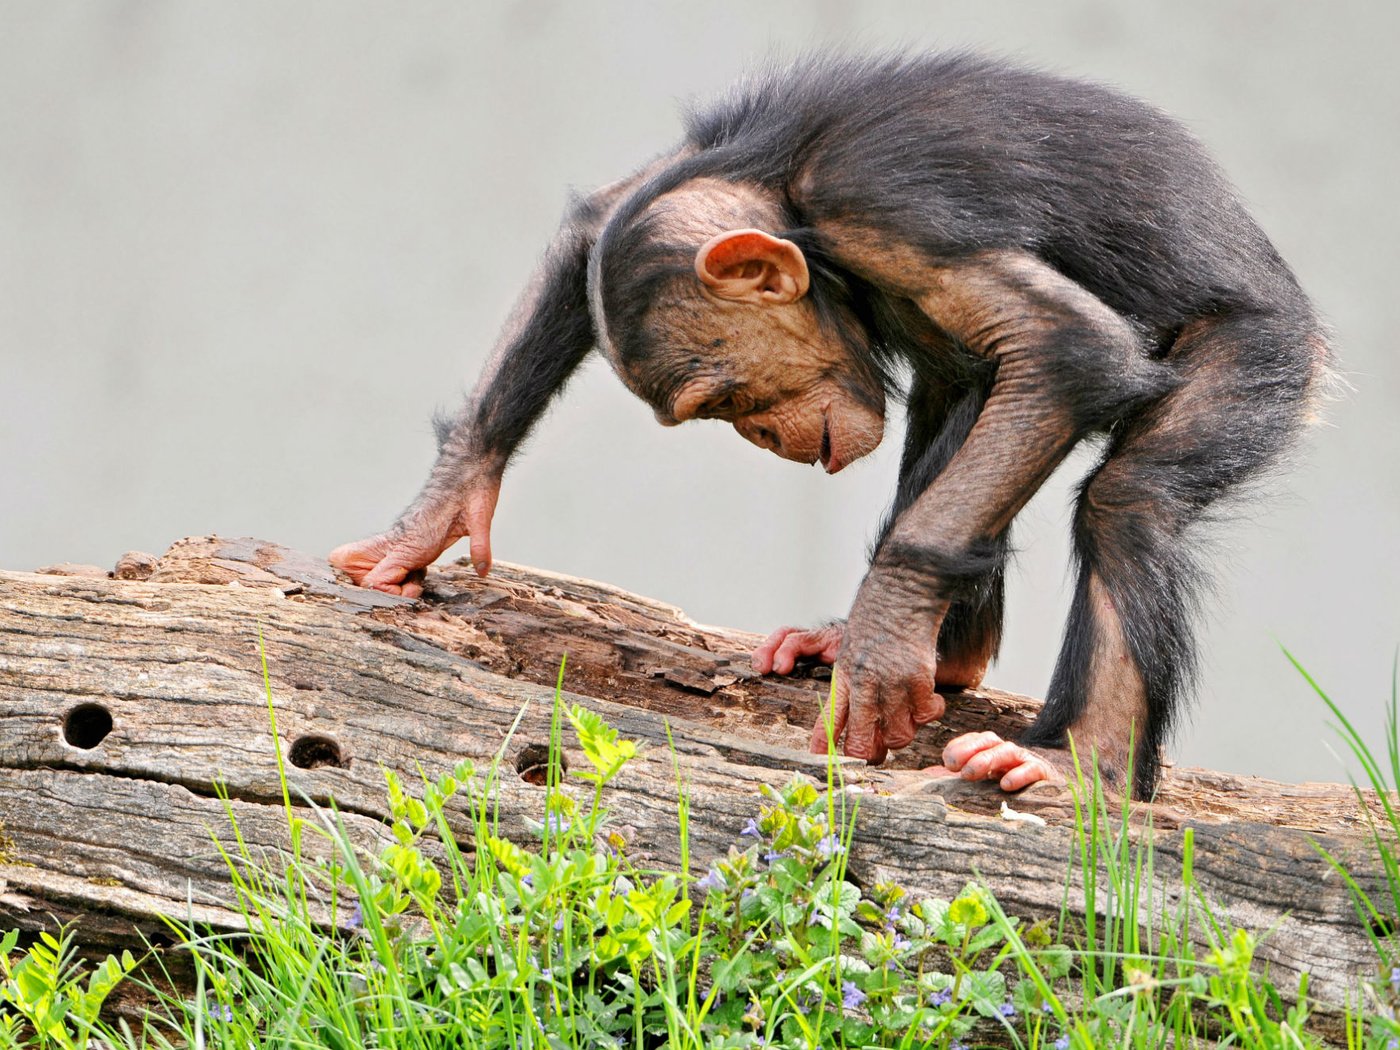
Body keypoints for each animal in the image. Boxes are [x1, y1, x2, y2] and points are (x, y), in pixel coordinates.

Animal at [333, 53, 1327, 795]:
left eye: (721, 399)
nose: (762, 436)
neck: (793, 199)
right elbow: (596, 221)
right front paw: (436, 511)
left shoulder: (883, 210)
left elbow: (1065, 347)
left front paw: (881, 642)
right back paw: (945, 654)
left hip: (1265, 350)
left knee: (1129, 502)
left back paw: (1081, 765)